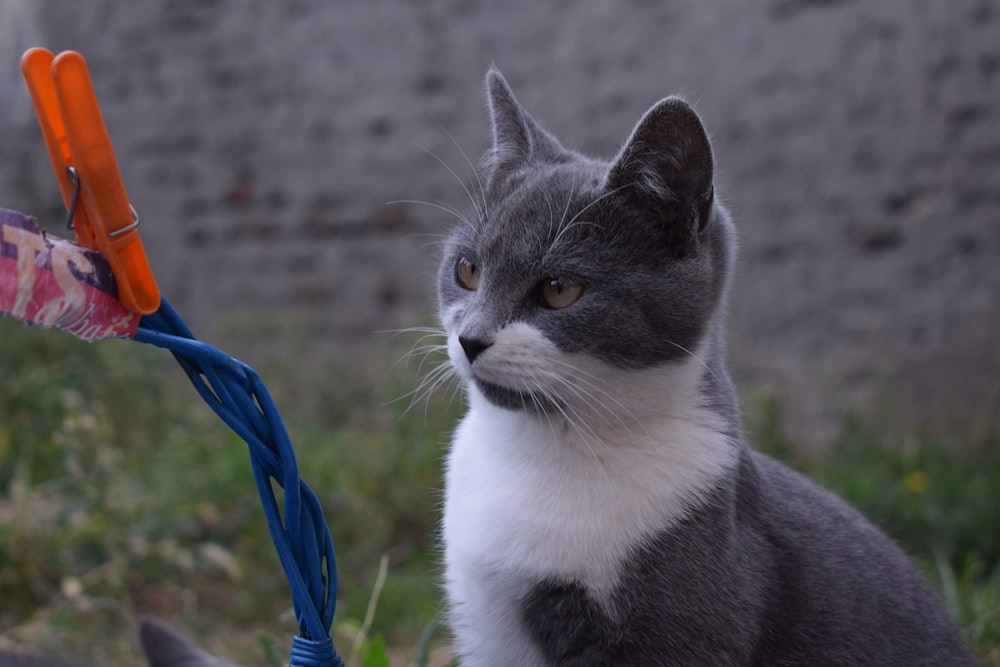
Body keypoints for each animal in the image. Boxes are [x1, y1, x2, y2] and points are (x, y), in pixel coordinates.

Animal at [438, 69, 976, 667]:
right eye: (467, 270)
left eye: (559, 289)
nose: (470, 338)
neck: (539, 449)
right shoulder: (486, 627)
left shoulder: (686, 617)